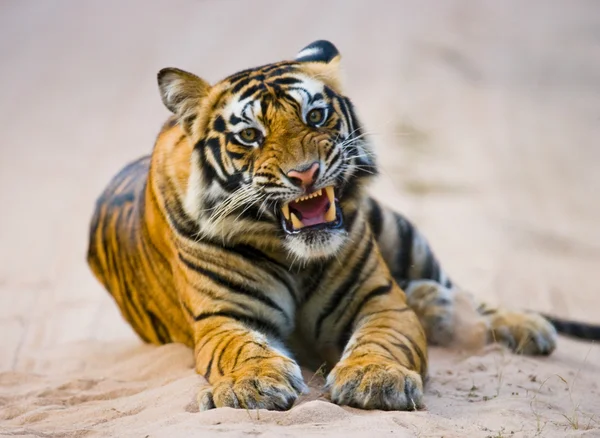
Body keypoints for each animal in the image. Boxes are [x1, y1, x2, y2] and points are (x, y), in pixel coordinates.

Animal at [88, 40, 600, 410]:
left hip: (396, 229)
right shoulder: (223, 317)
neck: (291, 253)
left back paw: (515, 324)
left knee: (462, 291)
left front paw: (376, 380)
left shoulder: (379, 300)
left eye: (315, 115)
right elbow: (242, 348)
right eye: (250, 135)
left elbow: (383, 339)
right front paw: (253, 384)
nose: (305, 174)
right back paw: (434, 306)